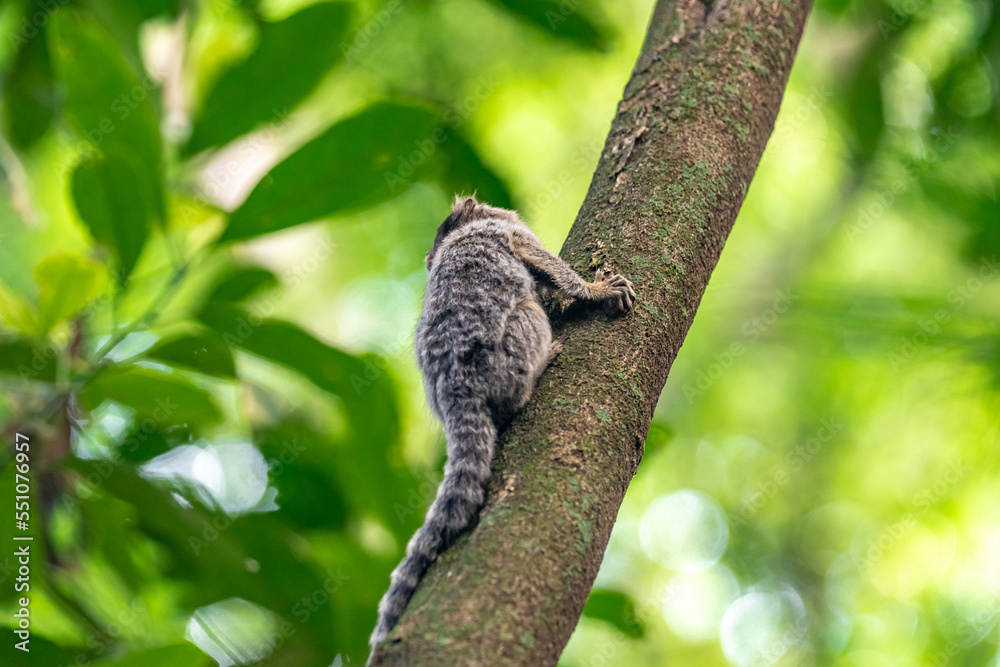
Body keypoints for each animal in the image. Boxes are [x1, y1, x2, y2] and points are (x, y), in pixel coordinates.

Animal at [368, 196, 632, 656]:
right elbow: (548, 265)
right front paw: (595, 290)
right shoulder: (512, 236)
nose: (429, 258)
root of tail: (457, 389)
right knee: (530, 317)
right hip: (513, 346)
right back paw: (541, 366)